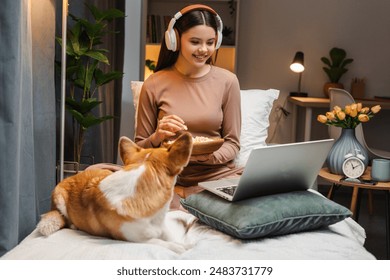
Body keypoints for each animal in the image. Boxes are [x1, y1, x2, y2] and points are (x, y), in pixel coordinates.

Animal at [37, 132, 193, 253]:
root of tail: (72, 176)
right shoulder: (135, 239)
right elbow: (163, 243)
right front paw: (179, 248)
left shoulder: (162, 228)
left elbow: (171, 236)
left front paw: (184, 243)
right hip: (59, 198)